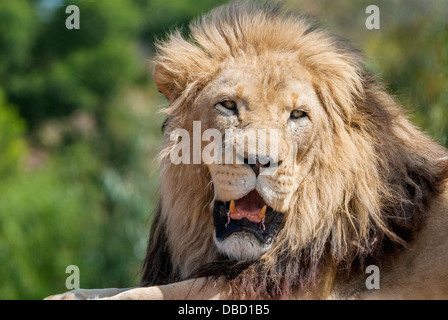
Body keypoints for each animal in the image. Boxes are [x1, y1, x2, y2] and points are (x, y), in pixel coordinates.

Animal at [46, 0, 448, 300]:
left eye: (297, 115)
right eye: (228, 105)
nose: (259, 161)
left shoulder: (281, 286)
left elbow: (138, 294)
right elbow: (101, 290)